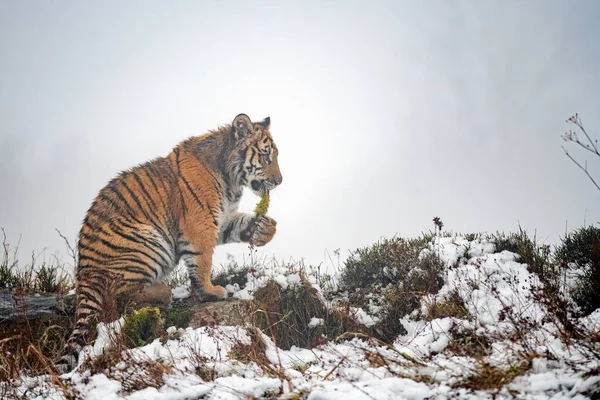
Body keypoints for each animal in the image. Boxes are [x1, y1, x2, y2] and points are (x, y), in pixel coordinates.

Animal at [55, 114, 282, 374]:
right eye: (265, 156)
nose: (280, 181)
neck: (230, 178)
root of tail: (84, 274)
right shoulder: (200, 223)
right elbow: (203, 261)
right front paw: (211, 291)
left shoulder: (222, 218)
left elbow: (240, 226)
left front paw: (264, 229)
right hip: (148, 241)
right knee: (117, 297)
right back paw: (163, 291)